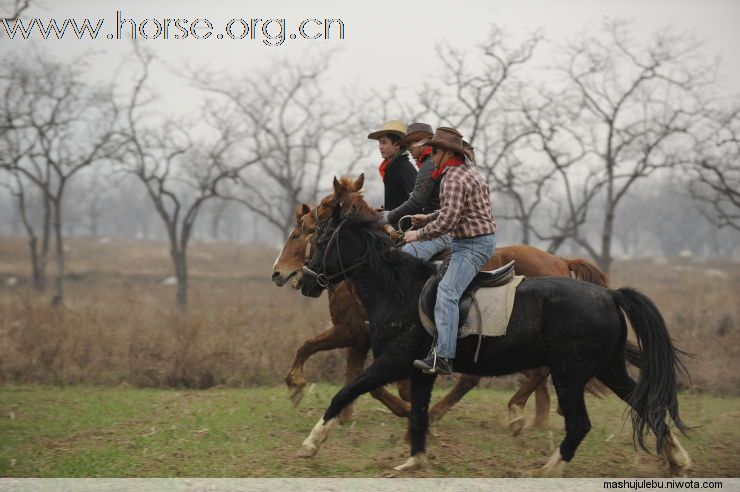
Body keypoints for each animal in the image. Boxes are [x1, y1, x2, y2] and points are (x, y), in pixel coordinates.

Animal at [274, 175, 628, 432]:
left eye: (300, 232)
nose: (280, 273)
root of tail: (559, 260)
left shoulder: (354, 332)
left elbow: (315, 351)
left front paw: (296, 385)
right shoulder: (362, 338)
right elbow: (352, 374)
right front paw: (347, 414)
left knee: (516, 374)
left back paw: (510, 411)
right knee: (526, 375)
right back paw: (534, 419)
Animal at [298, 199, 692, 476]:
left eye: (320, 239)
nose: (303, 281)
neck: (399, 290)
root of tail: (610, 296)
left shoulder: (392, 362)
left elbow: (346, 392)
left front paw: (311, 444)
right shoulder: (420, 371)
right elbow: (419, 413)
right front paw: (414, 461)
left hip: (570, 374)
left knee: (580, 422)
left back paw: (547, 469)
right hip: (609, 369)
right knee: (646, 404)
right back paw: (677, 460)